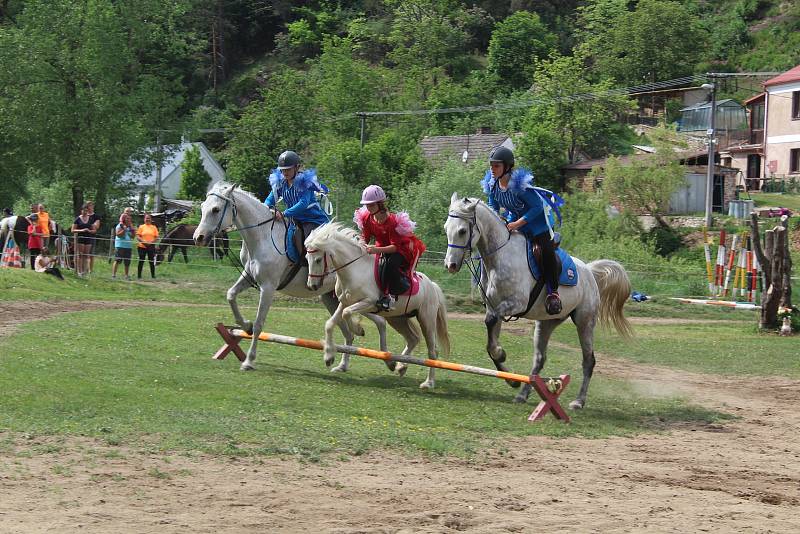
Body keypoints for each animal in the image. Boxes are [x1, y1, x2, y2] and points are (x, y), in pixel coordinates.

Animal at [194, 184, 388, 372]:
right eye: (203, 207)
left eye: (216, 209)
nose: (198, 238)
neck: (262, 236)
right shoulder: (249, 278)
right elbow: (231, 295)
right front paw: (245, 325)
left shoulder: (268, 287)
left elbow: (259, 324)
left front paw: (249, 360)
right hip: (333, 298)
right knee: (355, 330)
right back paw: (346, 363)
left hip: (352, 298)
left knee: (370, 322)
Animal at [304, 222, 450, 390]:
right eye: (307, 258)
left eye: (318, 260)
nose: (312, 286)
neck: (354, 270)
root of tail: (432, 285)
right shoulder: (345, 302)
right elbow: (330, 323)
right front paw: (329, 356)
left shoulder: (369, 302)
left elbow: (347, 314)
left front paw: (358, 329)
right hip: (397, 318)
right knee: (412, 339)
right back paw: (399, 365)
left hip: (426, 319)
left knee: (433, 351)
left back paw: (428, 382)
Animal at [444, 197, 632, 410]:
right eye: (446, 228)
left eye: (462, 231)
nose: (450, 265)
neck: (499, 257)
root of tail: (589, 271)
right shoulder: (494, 307)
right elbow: (490, 341)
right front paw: (511, 378)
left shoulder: (514, 304)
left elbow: (491, 326)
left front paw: (501, 355)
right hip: (546, 322)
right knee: (539, 360)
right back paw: (523, 394)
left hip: (585, 321)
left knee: (588, 360)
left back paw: (578, 401)